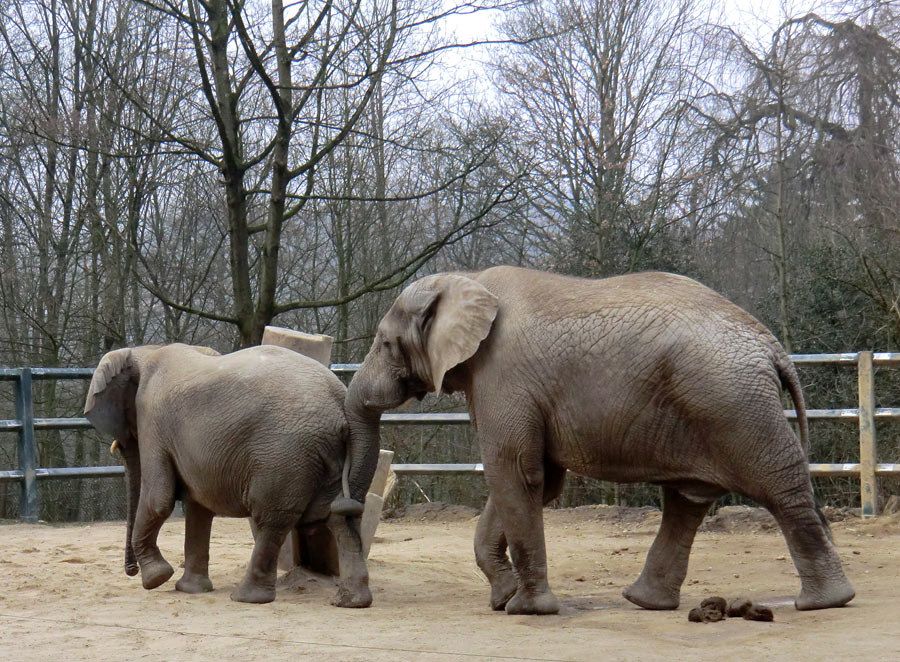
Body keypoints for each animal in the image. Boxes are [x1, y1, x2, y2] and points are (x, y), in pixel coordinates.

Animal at [81, 344, 370, 608]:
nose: (131, 571)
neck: (143, 351)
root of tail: (338, 402)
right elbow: (197, 505)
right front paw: (190, 590)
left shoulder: (153, 419)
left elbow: (158, 499)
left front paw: (157, 579)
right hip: (326, 456)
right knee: (340, 517)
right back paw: (351, 602)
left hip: (285, 454)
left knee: (271, 519)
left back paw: (246, 598)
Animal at [348, 268, 856, 616]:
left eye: (384, 343)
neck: (468, 280)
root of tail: (772, 346)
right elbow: (534, 480)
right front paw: (504, 598)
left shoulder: (505, 376)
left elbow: (515, 472)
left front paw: (526, 610)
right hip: (715, 404)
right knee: (688, 500)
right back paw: (645, 602)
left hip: (735, 404)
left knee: (777, 487)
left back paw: (825, 602)